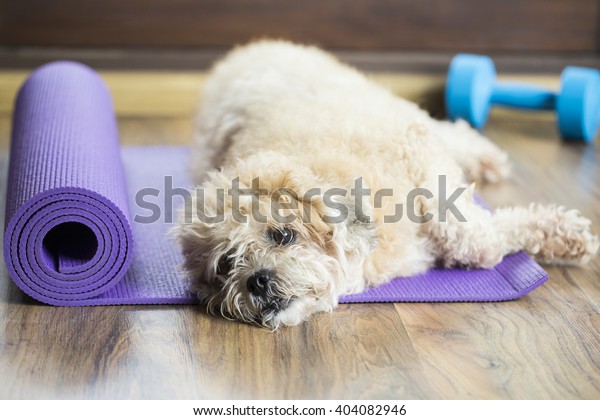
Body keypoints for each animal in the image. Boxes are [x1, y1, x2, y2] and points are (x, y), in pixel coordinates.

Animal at [173, 40, 596, 328]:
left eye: (283, 235)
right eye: (227, 264)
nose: (256, 280)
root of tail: (244, 52)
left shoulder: (425, 163)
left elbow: (481, 240)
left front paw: (570, 234)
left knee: (451, 130)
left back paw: (485, 157)